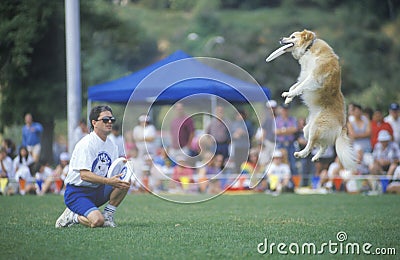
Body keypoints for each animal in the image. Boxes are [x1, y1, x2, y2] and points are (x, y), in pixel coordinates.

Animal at [268, 29, 354, 170]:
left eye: (292, 37)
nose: (281, 38)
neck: (309, 48)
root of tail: (343, 125)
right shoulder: (304, 75)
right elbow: (295, 85)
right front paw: (289, 98)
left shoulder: (313, 77)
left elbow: (299, 87)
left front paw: (288, 95)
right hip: (306, 129)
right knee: (322, 146)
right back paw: (315, 157)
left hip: (316, 128)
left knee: (311, 145)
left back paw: (301, 153)